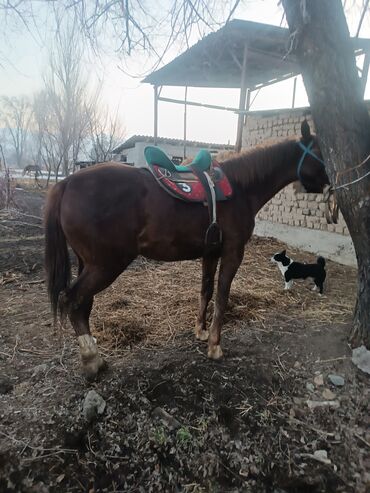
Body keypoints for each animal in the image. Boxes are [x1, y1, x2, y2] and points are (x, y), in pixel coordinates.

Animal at [44, 121, 330, 378]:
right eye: (321, 153)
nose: (331, 184)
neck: (241, 187)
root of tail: (67, 183)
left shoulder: (210, 252)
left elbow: (206, 291)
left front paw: (201, 331)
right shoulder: (233, 253)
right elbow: (222, 296)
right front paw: (215, 346)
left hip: (89, 263)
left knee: (83, 304)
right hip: (106, 265)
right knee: (71, 301)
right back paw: (91, 361)